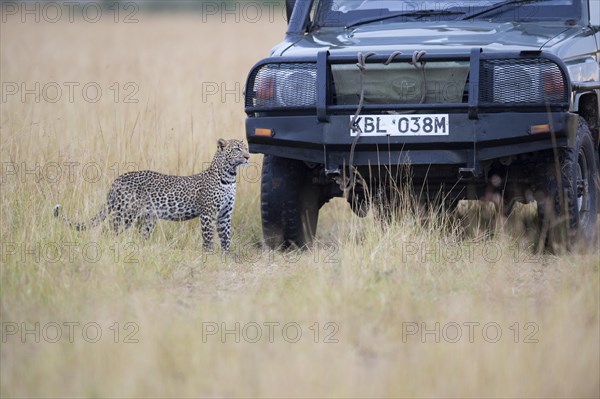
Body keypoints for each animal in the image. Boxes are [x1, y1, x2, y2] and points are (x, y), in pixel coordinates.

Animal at [52, 139, 248, 252]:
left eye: (246, 147)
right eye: (237, 149)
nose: (248, 156)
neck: (229, 177)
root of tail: (117, 180)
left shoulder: (224, 214)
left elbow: (226, 237)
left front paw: (225, 258)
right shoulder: (208, 213)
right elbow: (208, 238)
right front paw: (207, 257)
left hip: (147, 219)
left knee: (139, 237)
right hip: (125, 214)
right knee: (107, 231)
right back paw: (105, 249)